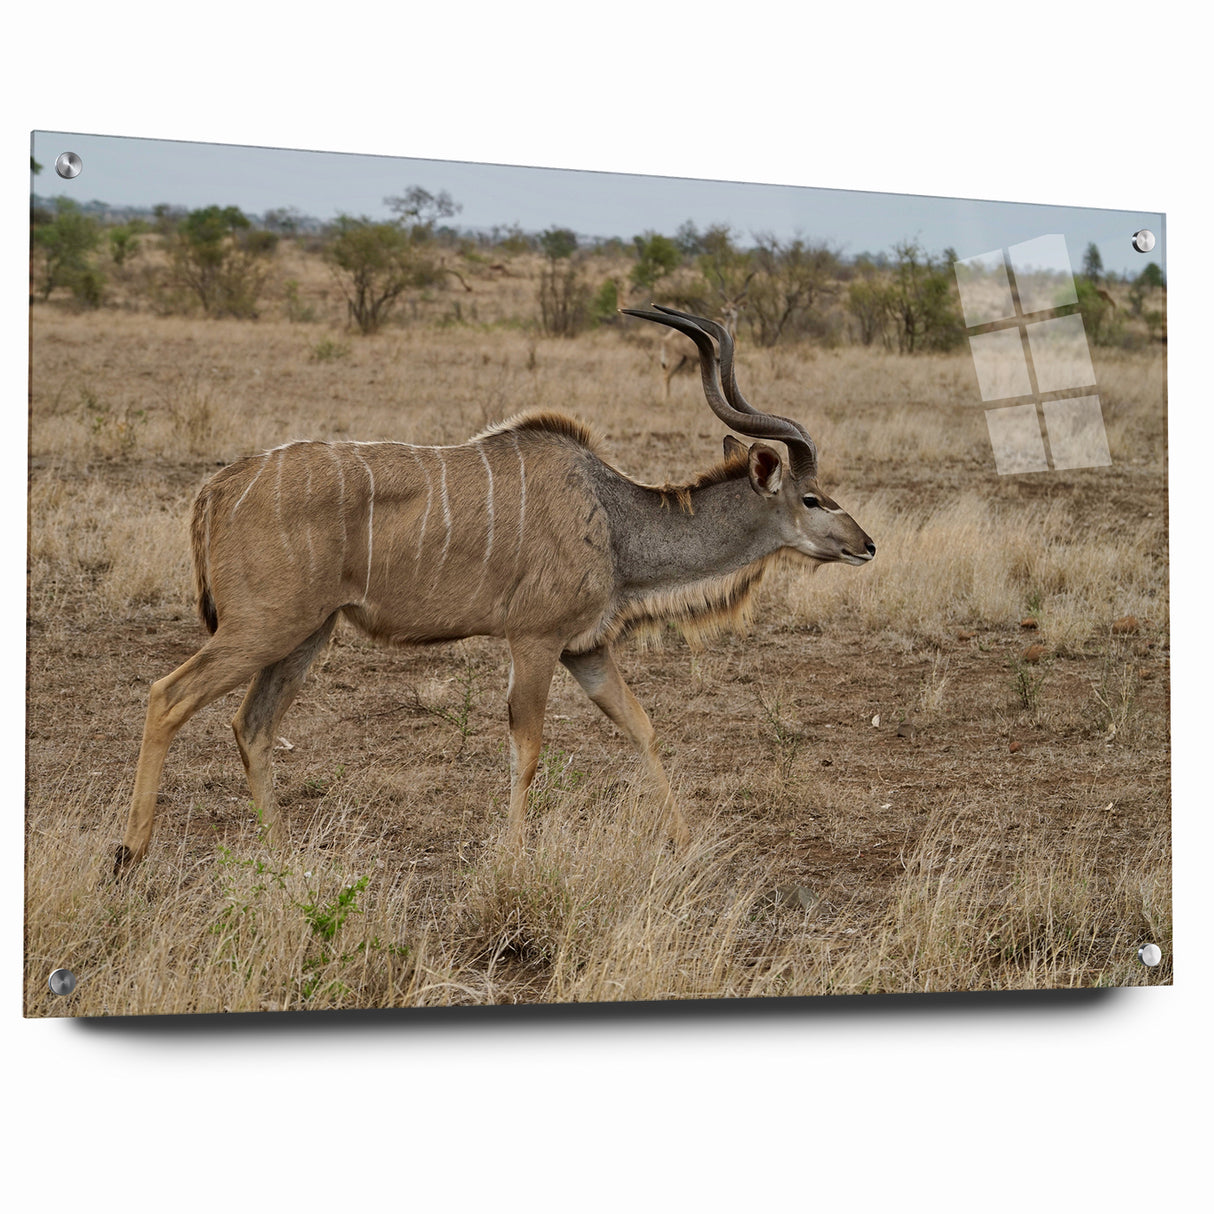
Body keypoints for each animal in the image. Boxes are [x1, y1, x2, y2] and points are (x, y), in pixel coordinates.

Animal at [115, 306, 874, 874]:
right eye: (813, 498)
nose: (865, 545)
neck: (613, 518)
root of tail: (217, 488)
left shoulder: (585, 649)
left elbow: (643, 727)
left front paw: (685, 845)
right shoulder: (535, 641)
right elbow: (529, 748)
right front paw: (511, 858)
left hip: (306, 633)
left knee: (253, 724)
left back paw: (283, 858)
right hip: (263, 627)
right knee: (168, 696)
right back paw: (130, 853)